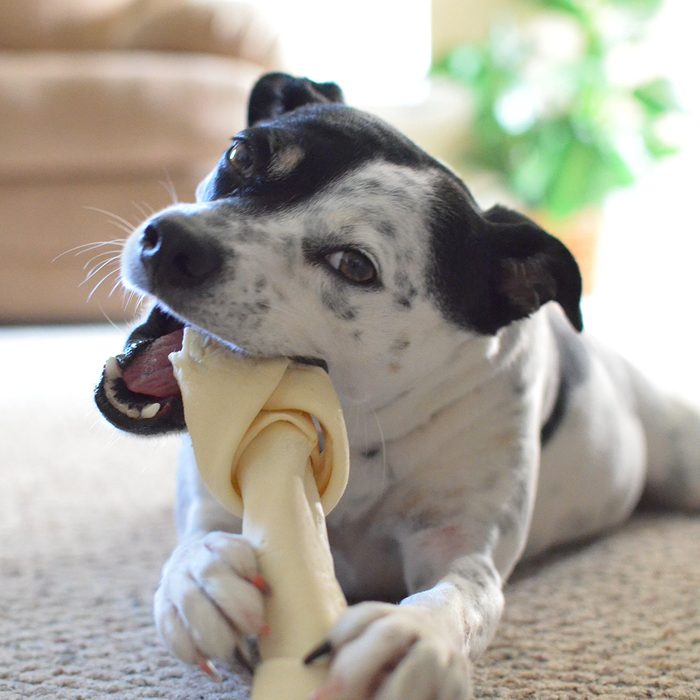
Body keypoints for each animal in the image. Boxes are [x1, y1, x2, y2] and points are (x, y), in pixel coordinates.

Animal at [94, 74, 700, 696]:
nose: (171, 241)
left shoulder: (460, 544)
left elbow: (462, 595)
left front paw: (411, 636)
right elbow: (198, 539)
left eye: (355, 265)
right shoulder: (215, 497)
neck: (359, 428)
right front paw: (203, 578)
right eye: (241, 155)